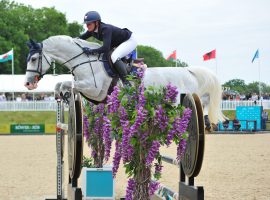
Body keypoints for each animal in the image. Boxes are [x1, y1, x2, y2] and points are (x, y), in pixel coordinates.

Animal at [24, 34, 225, 128]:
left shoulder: (94, 89)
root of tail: (188, 71)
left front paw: (64, 93)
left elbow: (68, 84)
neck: (84, 60)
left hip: (178, 103)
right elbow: (61, 84)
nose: (28, 83)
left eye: (33, 59)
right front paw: (62, 96)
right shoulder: (94, 96)